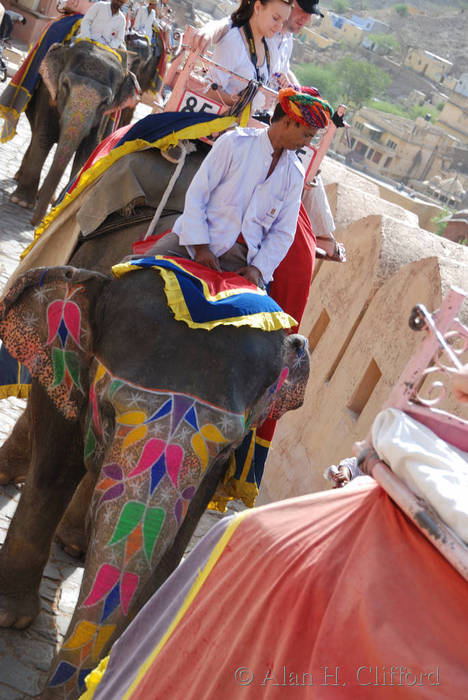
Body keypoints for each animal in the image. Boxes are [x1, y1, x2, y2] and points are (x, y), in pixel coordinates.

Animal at [0, 262, 310, 699]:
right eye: (109, 411)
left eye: (228, 448)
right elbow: (55, 463)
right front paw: (9, 617)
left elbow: (174, 540)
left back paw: (75, 541)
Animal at [10, 41, 140, 225]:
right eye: (65, 85)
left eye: (105, 102)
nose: (35, 223)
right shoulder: (47, 94)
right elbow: (44, 136)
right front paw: (21, 202)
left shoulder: (103, 118)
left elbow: (88, 150)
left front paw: (61, 207)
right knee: (35, 133)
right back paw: (21, 180)